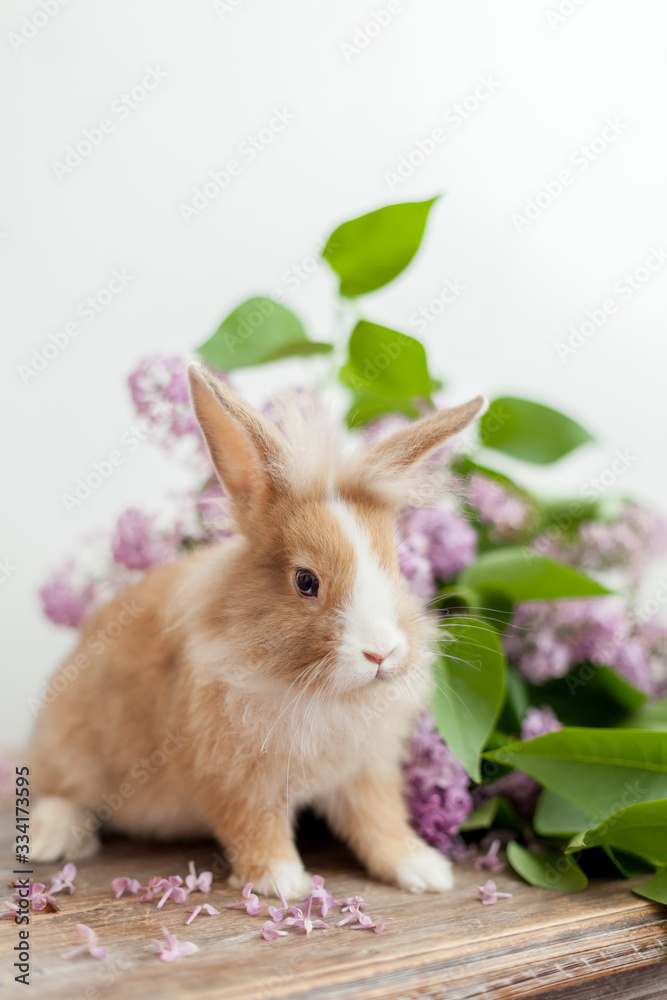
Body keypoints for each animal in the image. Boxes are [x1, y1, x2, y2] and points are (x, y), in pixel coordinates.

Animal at [29, 364, 484, 899]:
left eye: (396, 568)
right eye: (306, 581)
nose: (381, 654)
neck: (318, 692)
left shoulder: (366, 773)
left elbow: (380, 821)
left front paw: (425, 871)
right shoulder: (236, 778)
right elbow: (256, 827)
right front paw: (284, 883)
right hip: (70, 746)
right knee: (56, 788)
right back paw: (51, 839)